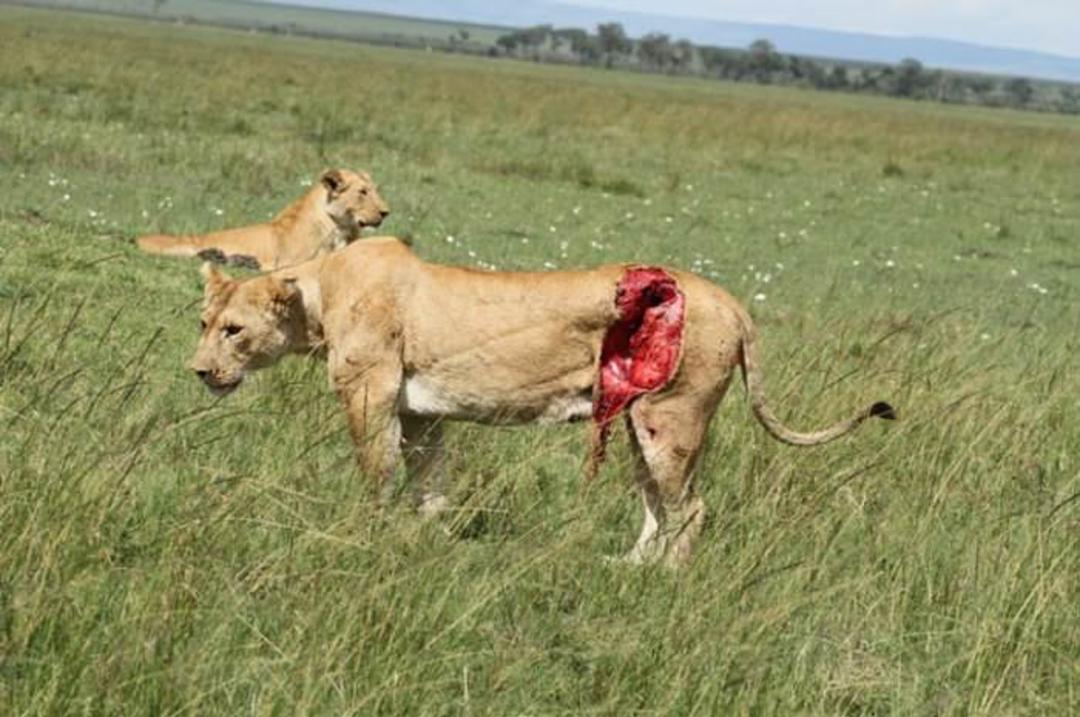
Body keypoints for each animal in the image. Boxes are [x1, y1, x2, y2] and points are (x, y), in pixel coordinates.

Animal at [189, 238, 894, 566]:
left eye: (234, 331)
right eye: (202, 322)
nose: (198, 370)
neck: (318, 294)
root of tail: (735, 304)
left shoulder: (370, 394)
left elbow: (376, 475)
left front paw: (361, 535)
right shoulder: (419, 411)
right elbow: (429, 482)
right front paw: (427, 537)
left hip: (670, 415)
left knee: (690, 510)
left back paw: (664, 582)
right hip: (639, 422)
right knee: (657, 508)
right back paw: (626, 567)